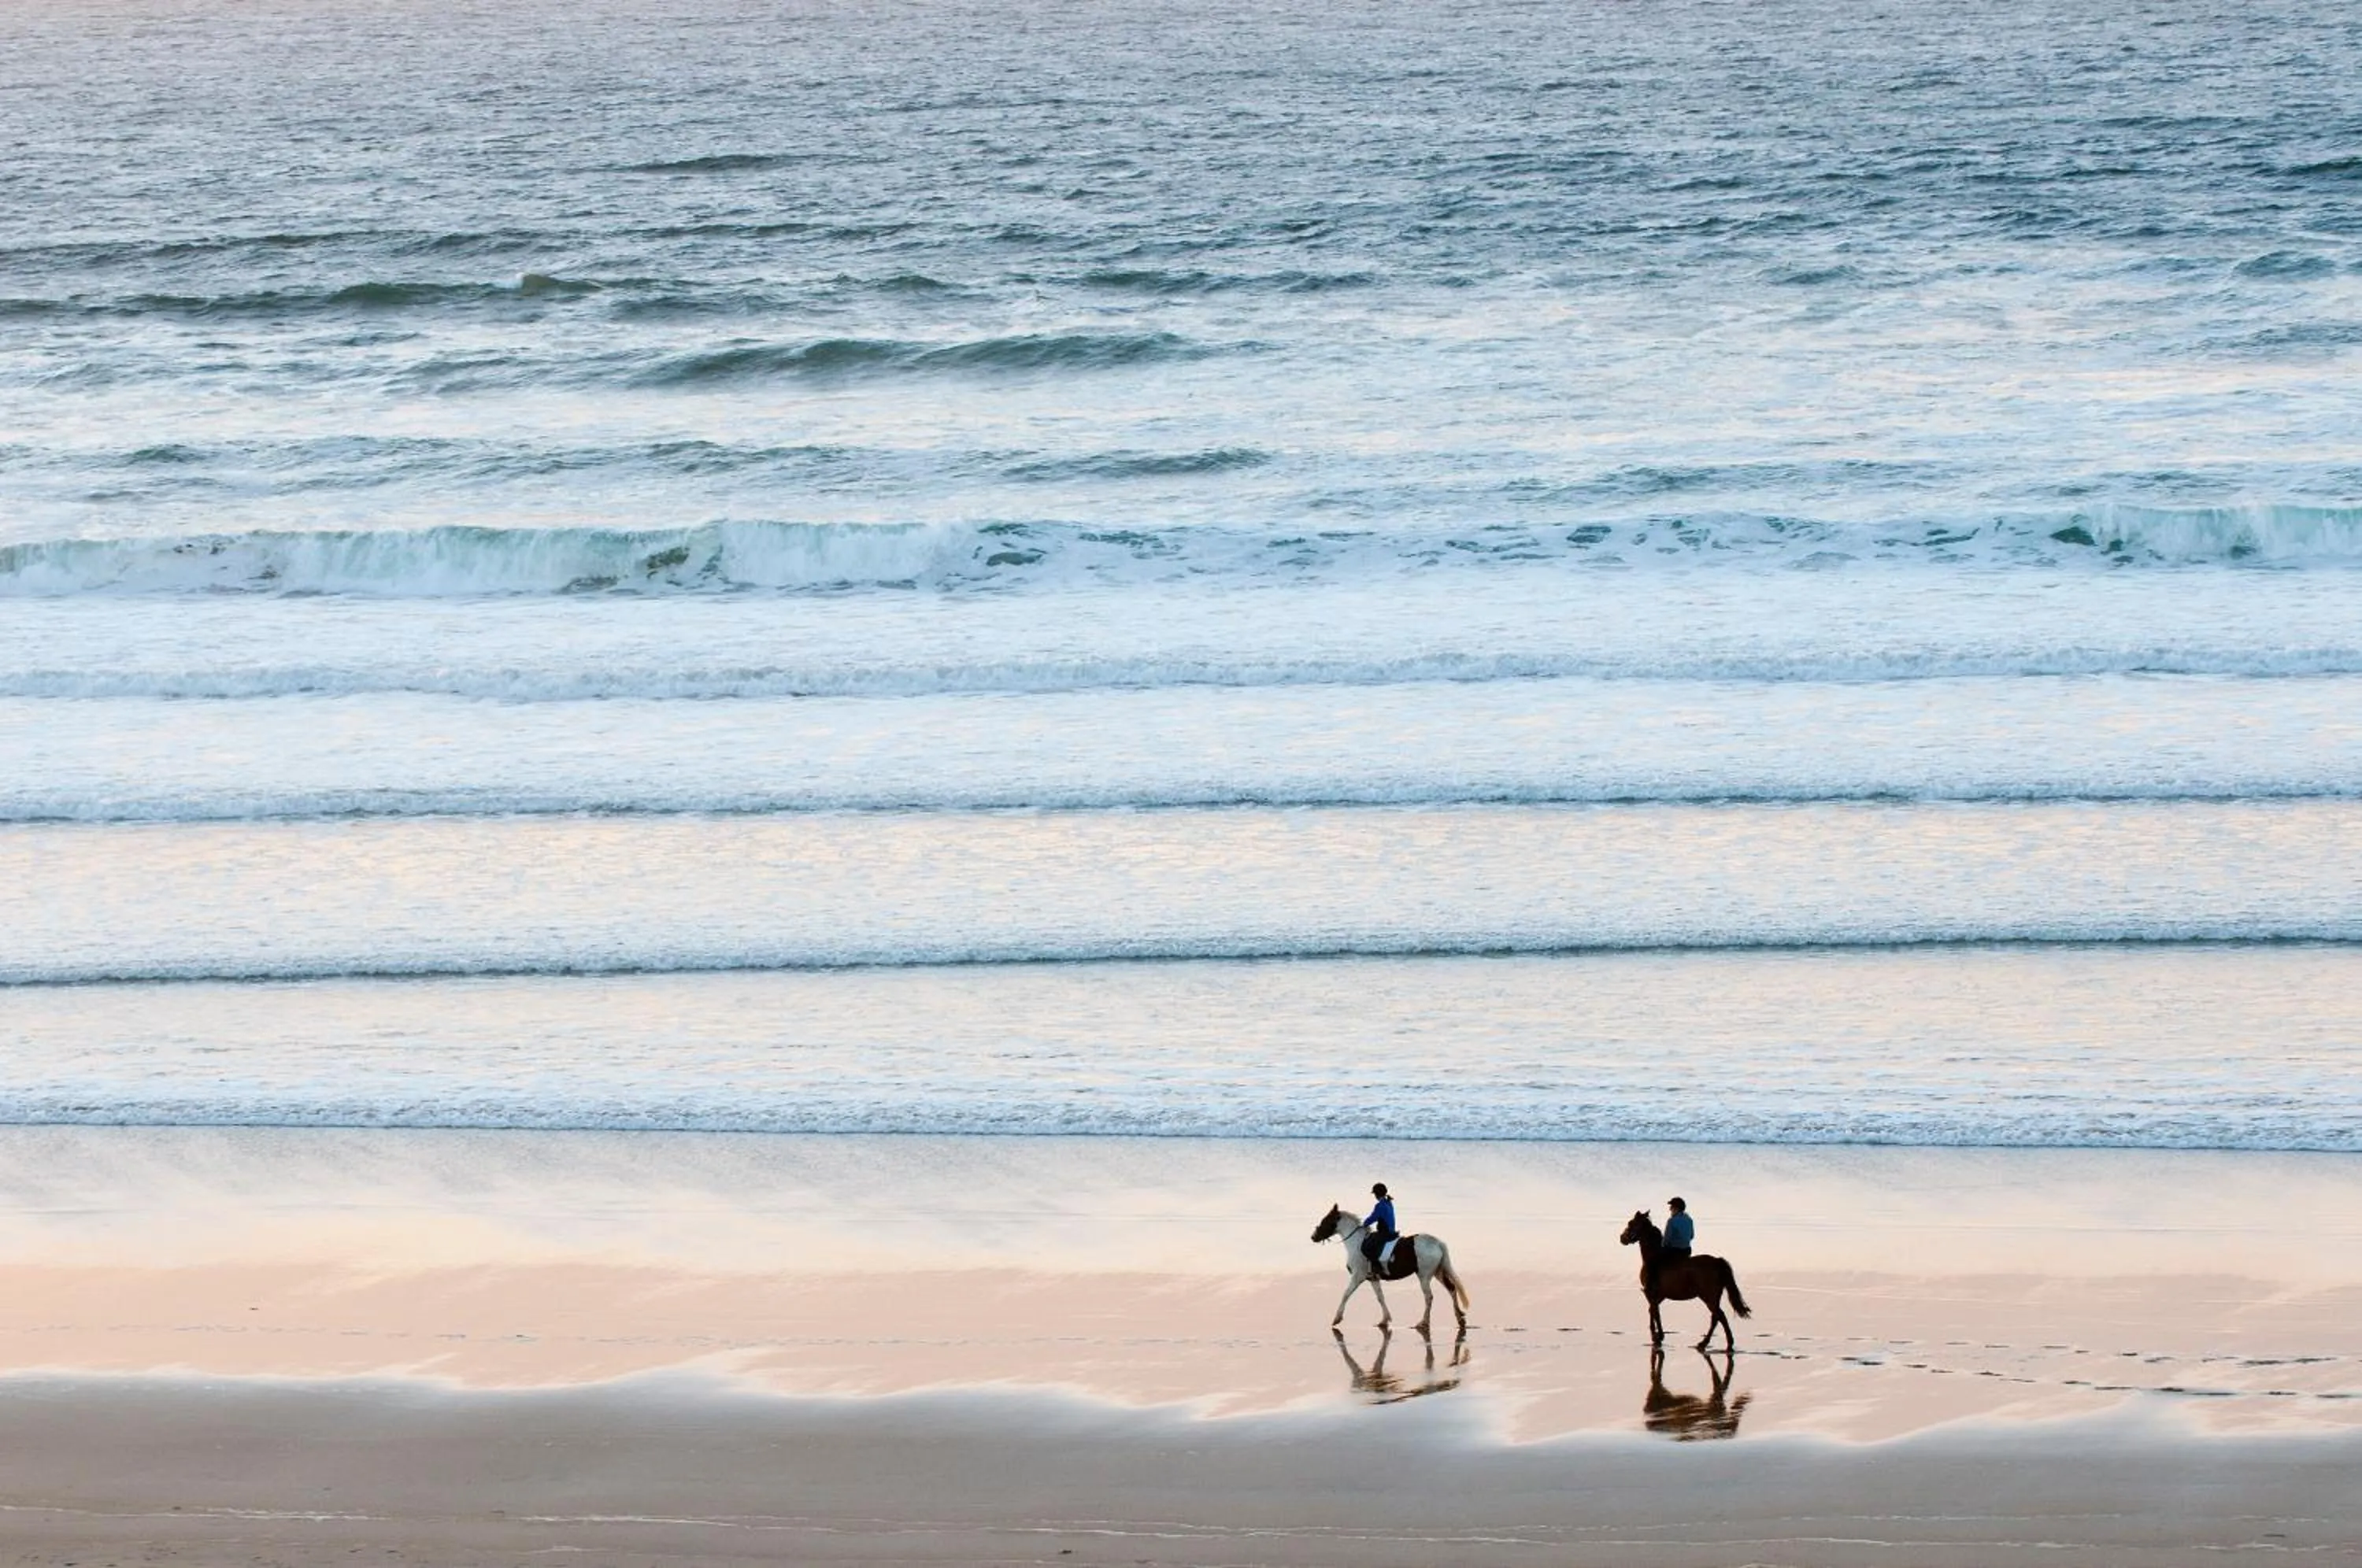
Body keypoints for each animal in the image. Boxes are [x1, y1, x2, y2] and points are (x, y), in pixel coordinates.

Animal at [1310, 1203, 1470, 1335]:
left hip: (1424, 1276)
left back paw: (1423, 1323)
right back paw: (1460, 1319)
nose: (1313, 1237)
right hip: (1438, 1272)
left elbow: (1346, 1294)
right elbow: (1380, 1297)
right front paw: (1384, 1320)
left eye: (1326, 1221)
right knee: (1451, 1289)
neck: (1357, 1243)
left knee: (1429, 1297)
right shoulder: (1373, 1278)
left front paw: (1337, 1319)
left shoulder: (1357, 1276)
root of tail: (1437, 1243)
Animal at [1618, 1209, 1751, 1351]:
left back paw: (1710, 1343)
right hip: (1715, 1297)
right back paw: (1716, 1343)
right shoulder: (1659, 1296)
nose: (1622, 1238)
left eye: (1631, 1223)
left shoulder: (1650, 1293)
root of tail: (1717, 1261)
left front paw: (1657, 1337)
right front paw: (1658, 1336)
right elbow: (1653, 1311)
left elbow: (1655, 1312)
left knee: (1719, 1317)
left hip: (1708, 1297)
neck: (1653, 1257)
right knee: (1717, 1318)